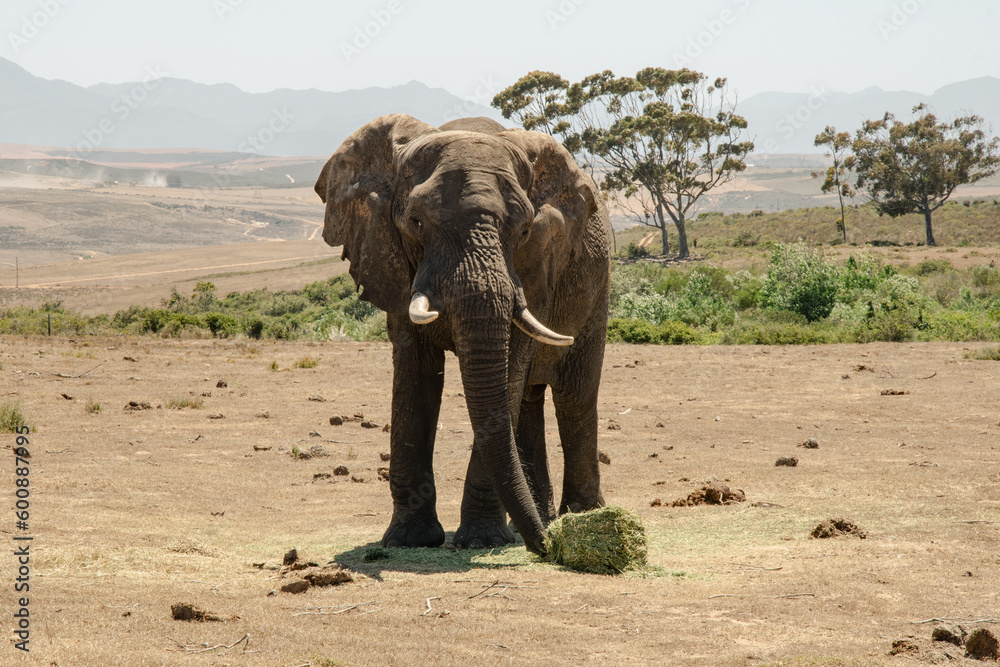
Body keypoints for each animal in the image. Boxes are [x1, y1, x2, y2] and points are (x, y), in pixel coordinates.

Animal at [314, 114, 611, 555]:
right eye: (416, 221)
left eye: (525, 229)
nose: (545, 549)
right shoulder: (394, 264)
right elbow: (415, 376)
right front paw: (410, 540)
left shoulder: (537, 266)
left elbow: (508, 373)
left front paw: (482, 540)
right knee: (528, 401)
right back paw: (544, 521)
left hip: (597, 289)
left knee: (573, 397)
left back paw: (579, 519)